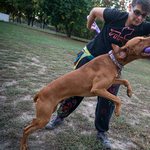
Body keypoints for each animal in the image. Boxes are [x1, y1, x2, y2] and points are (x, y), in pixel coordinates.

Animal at [20, 36, 150, 149]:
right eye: (140, 40)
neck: (113, 60)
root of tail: (40, 93)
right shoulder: (97, 89)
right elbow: (118, 99)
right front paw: (117, 111)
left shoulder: (111, 82)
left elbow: (125, 81)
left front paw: (129, 91)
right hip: (44, 118)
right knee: (26, 129)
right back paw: (23, 145)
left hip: (46, 114)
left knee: (32, 122)